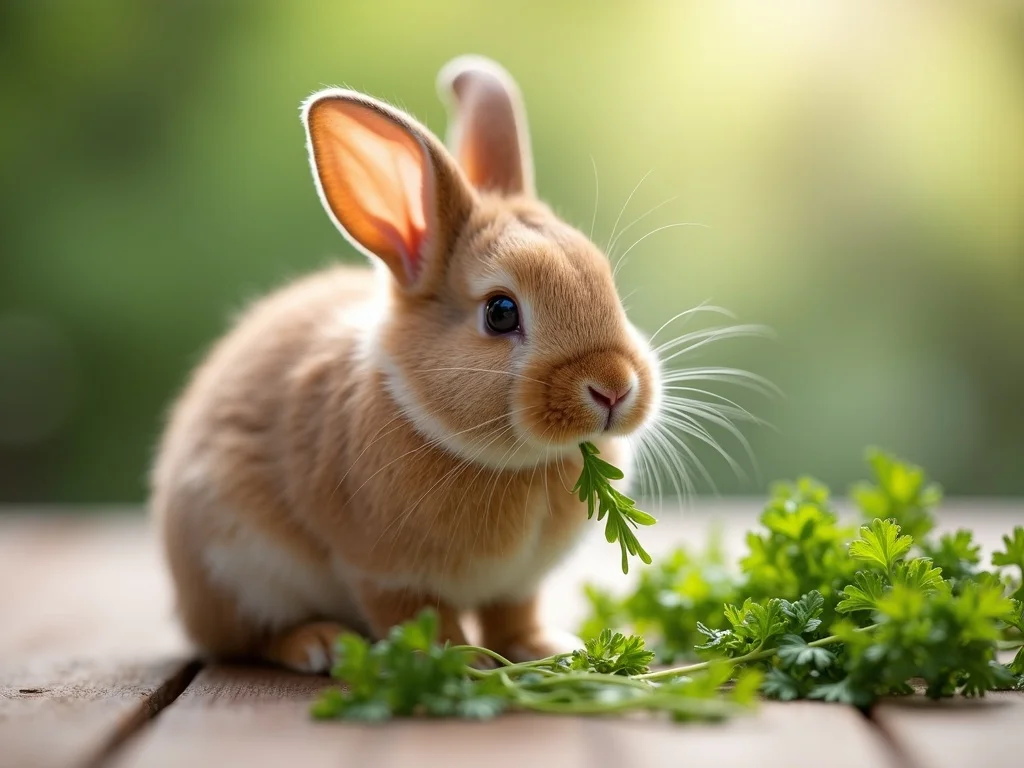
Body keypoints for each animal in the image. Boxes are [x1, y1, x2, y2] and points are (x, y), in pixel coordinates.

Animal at [150, 54, 663, 674]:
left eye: (607, 284)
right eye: (500, 312)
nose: (613, 388)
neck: (515, 463)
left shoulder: (517, 584)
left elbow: (513, 614)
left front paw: (544, 649)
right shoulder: (385, 572)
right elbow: (419, 619)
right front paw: (460, 663)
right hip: (238, 568)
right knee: (246, 639)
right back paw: (318, 644)